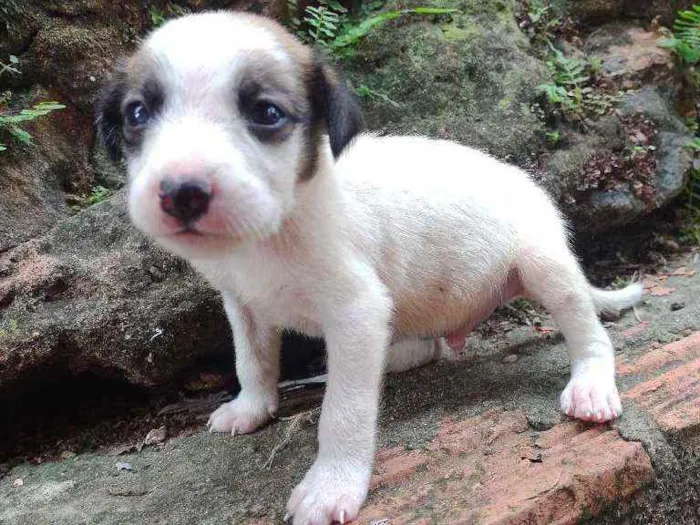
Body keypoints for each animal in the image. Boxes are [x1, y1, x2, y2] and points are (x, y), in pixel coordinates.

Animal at [95, 12, 644, 524]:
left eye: (266, 112)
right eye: (138, 113)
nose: (181, 192)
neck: (278, 225)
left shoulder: (356, 313)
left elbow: (343, 412)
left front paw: (331, 485)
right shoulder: (243, 304)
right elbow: (252, 360)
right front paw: (252, 407)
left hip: (545, 265)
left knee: (589, 332)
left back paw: (591, 384)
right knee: (427, 346)